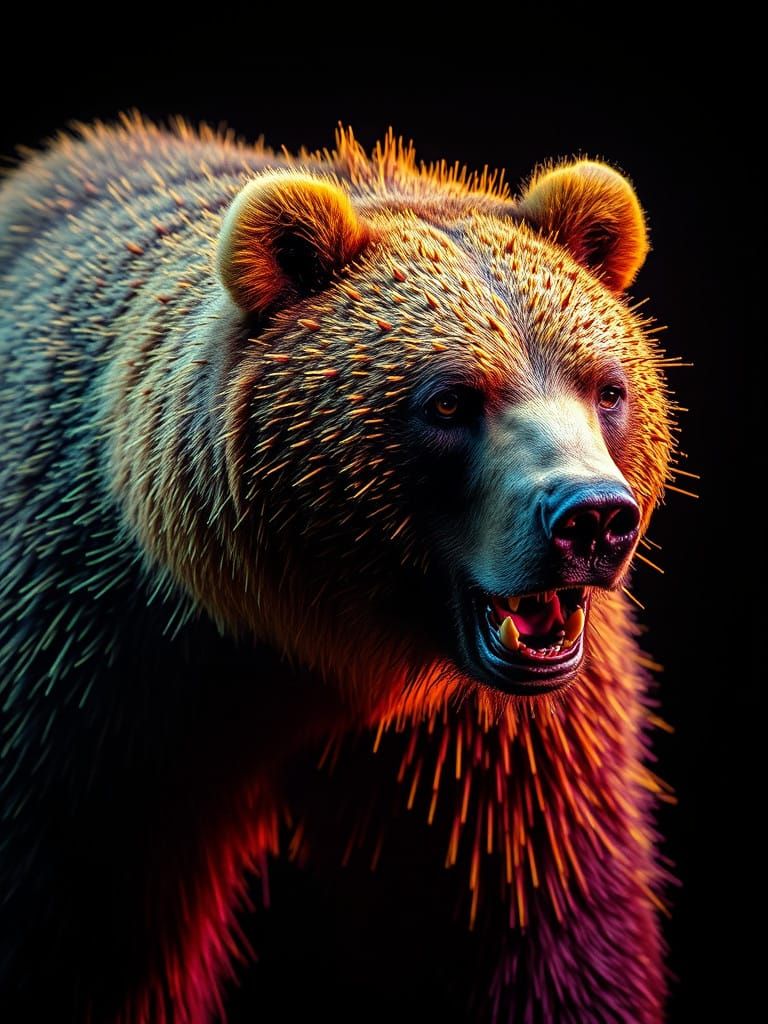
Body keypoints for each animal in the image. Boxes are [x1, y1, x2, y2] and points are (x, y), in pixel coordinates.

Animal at [0, 115, 673, 1023]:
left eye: (607, 387)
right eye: (450, 400)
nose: (591, 516)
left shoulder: (500, 751)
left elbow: (549, 922)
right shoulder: (87, 685)